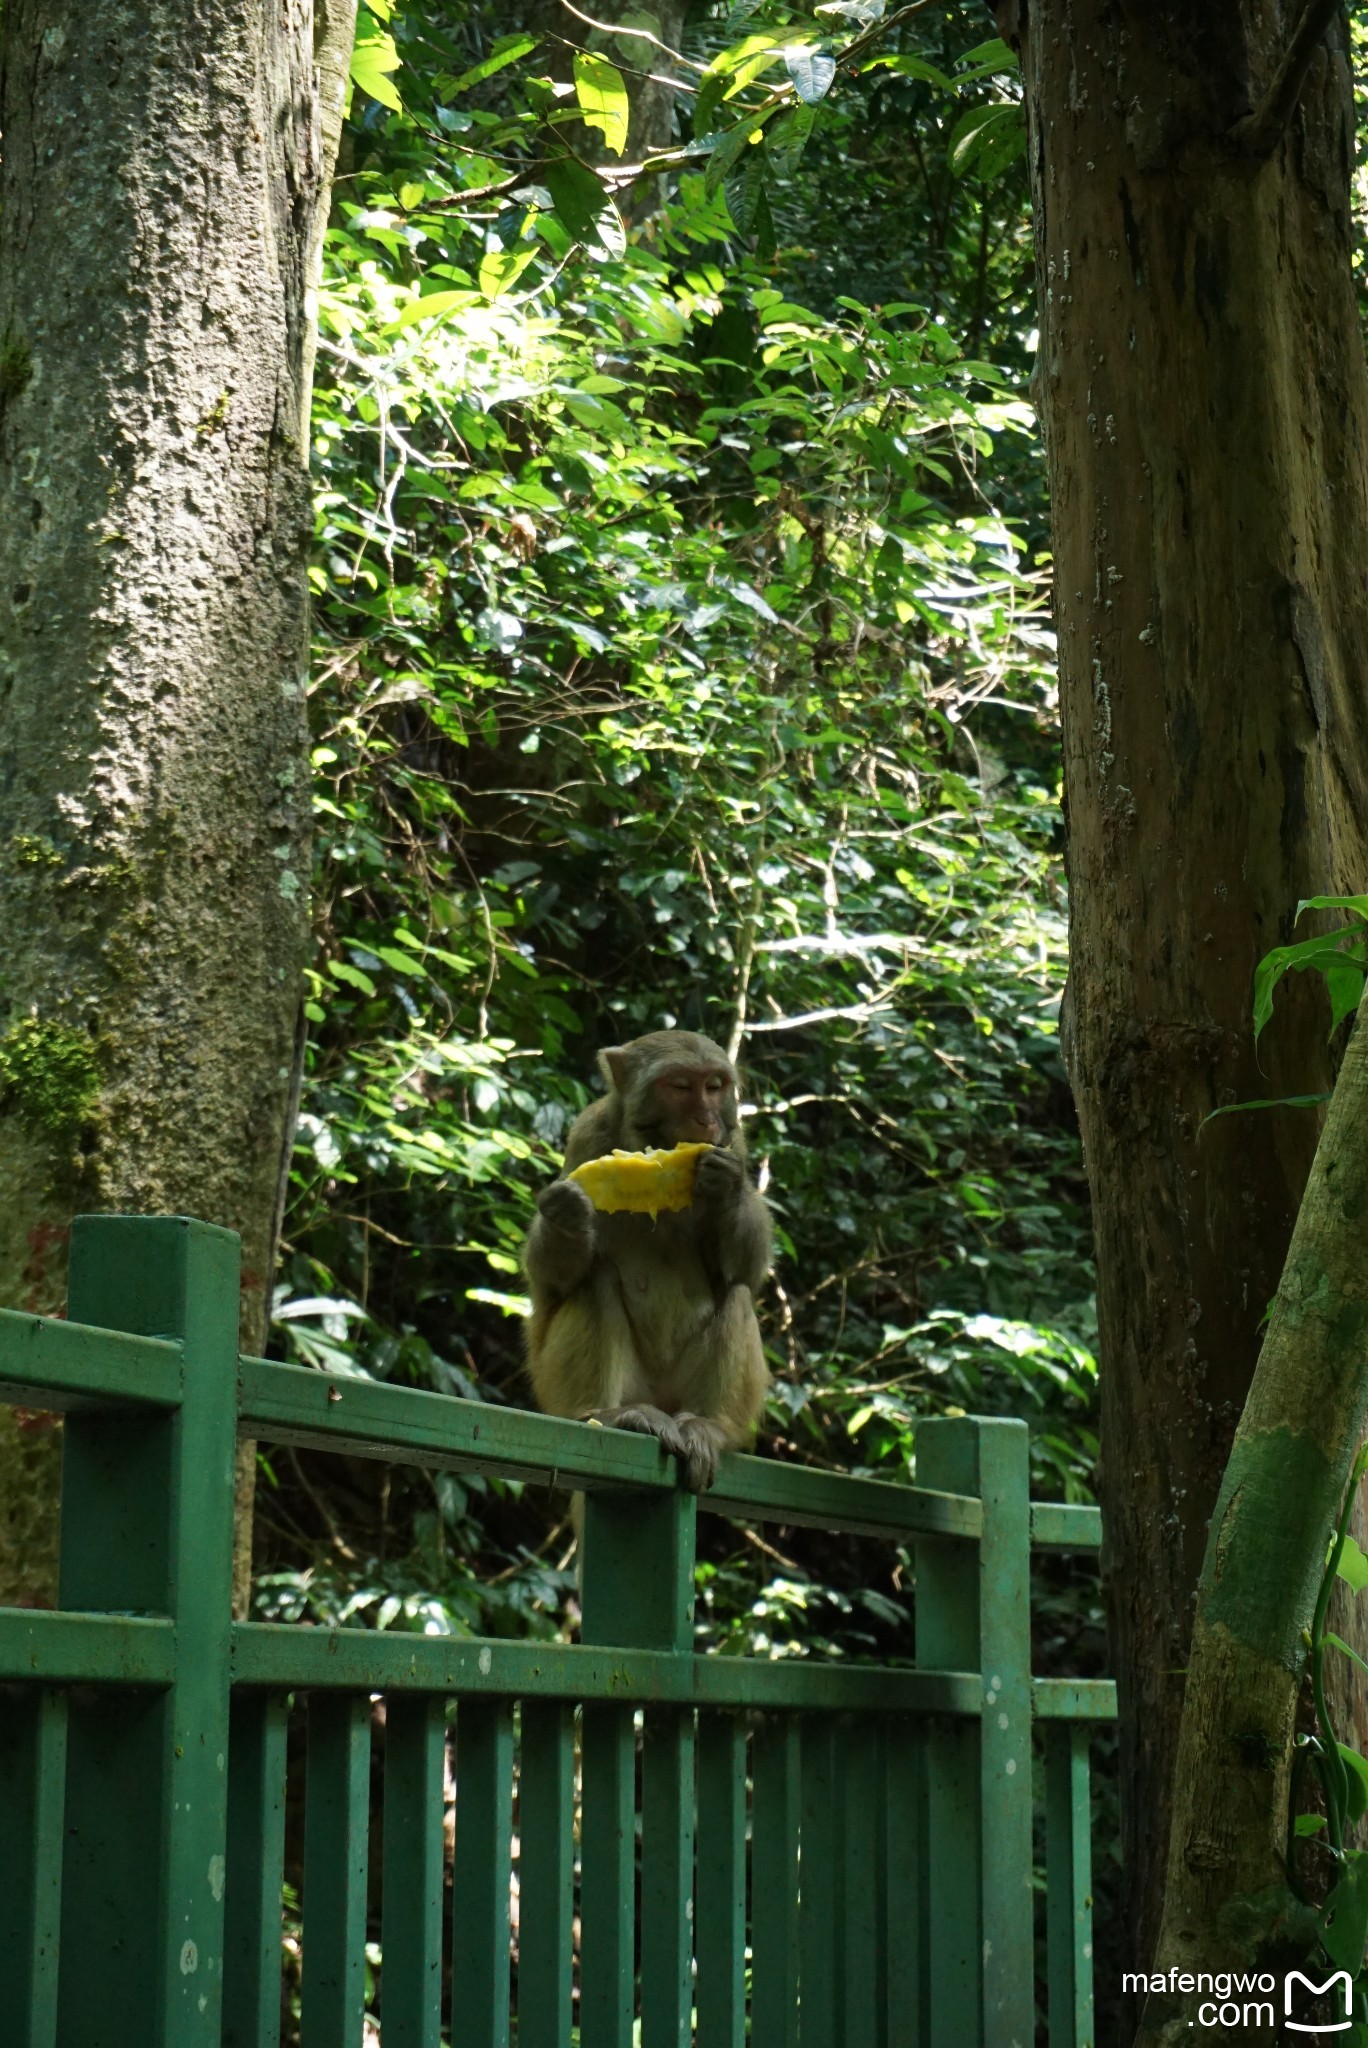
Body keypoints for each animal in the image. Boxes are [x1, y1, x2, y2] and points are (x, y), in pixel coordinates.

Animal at [528, 1024, 770, 1490]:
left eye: (715, 1086)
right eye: (680, 1086)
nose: (706, 1119)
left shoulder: (734, 1142)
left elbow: (746, 1272)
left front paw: (728, 1186)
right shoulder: (588, 1138)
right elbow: (552, 1284)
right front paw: (567, 1214)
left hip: (680, 1394)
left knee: (737, 1296)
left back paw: (710, 1425)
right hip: (562, 1387)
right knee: (593, 1283)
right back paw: (607, 1413)